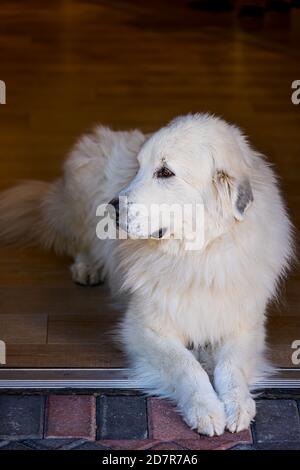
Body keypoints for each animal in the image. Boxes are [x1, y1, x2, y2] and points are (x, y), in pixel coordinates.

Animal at [0, 114, 294, 436]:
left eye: (165, 172)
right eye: (138, 167)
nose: (111, 207)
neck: (197, 256)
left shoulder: (245, 325)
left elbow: (231, 365)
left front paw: (238, 404)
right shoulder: (145, 329)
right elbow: (186, 365)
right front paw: (206, 408)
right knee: (82, 240)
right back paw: (89, 266)